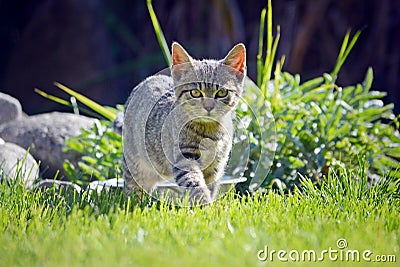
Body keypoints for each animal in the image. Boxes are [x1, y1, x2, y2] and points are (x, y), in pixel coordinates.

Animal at [122, 42, 247, 205]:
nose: (208, 107)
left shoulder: (215, 166)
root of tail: (147, 80)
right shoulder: (184, 158)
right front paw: (203, 204)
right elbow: (194, 183)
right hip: (135, 163)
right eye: (195, 93)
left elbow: (210, 186)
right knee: (134, 185)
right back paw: (134, 203)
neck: (209, 130)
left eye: (221, 93)